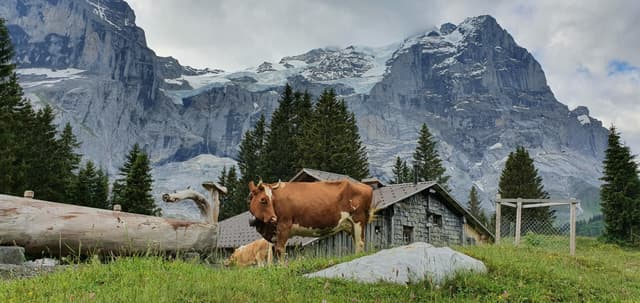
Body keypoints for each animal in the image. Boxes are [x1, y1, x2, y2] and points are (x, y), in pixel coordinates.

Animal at [246, 180, 376, 258]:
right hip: (351, 225)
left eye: (271, 199)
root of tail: (365, 186)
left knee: (360, 243)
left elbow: (280, 250)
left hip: (358, 220)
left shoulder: (284, 225)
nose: (273, 218)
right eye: (263, 199)